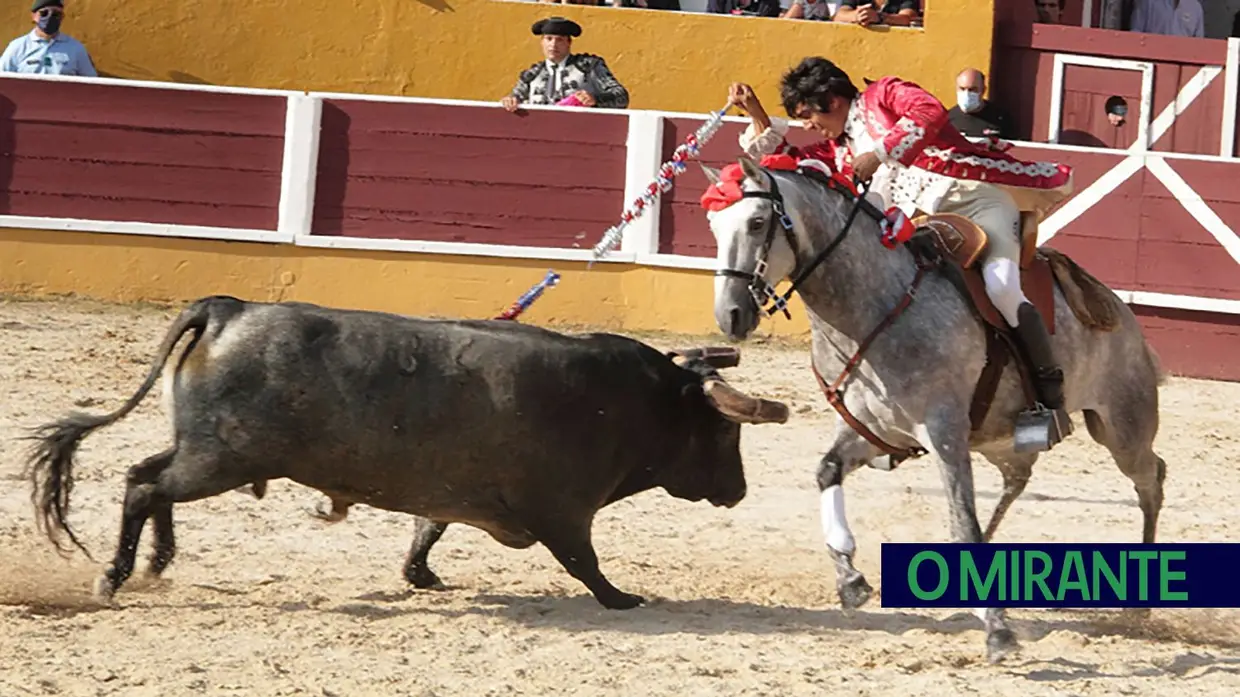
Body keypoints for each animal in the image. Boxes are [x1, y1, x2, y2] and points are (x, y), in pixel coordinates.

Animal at [24, 292, 788, 607]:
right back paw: (115, 578)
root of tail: (229, 307)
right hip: (223, 458)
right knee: (144, 485)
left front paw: (421, 575)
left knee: (148, 478)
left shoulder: (453, 487)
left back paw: (155, 563)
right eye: (725, 431)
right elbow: (585, 561)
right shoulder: (565, 511)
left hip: (207, 454)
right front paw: (623, 599)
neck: (635, 400)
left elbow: (429, 527)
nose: (740, 489)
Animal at [704, 156, 1165, 659]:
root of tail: (1112, 303)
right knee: (1018, 479)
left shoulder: (943, 432)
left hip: (1122, 426)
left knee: (1151, 480)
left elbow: (962, 521)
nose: (730, 315)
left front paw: (998, 631)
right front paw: (850, 579)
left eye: (757, 222)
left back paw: (1141, 605)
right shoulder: (873, 429)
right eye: (713, 226)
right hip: (999, 439)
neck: (871, 307)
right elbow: (827, 471)